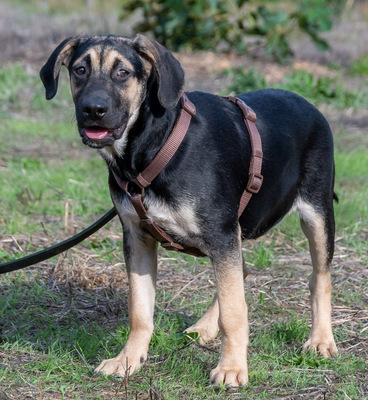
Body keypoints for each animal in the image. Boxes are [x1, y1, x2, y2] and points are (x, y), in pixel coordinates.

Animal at [39, 35, 336, 388]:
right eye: (80, 70)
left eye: (123, 72)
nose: (93, 110)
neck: (154, 143)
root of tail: (311, 106)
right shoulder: (137, 236)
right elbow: (140, 310)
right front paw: (128, 360)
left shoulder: (221, 233)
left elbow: (235, 311)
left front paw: (232, 368)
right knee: (242, 273)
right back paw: (205, 327)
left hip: (317, 213)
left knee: (319, 278)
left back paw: (320, 340)